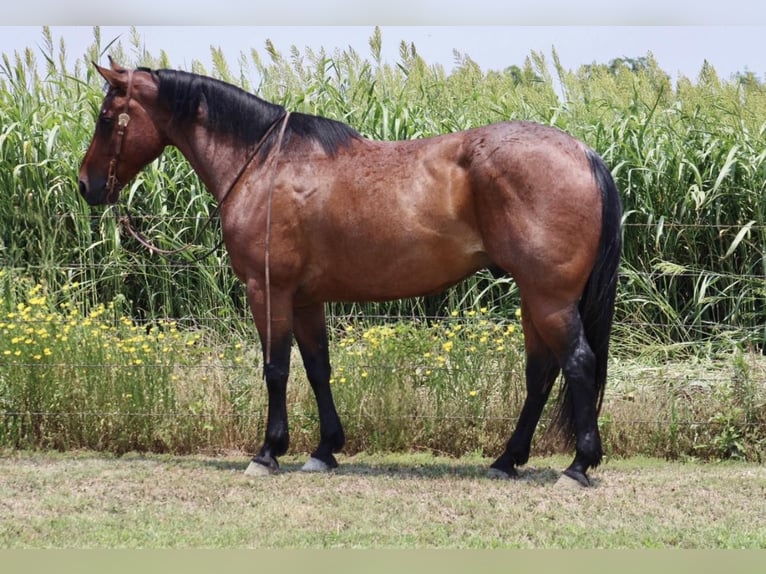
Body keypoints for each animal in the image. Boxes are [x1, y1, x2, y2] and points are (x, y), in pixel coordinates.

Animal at [76, 60, 624, 488]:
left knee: (577, 363)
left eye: (105, 119)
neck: (265, 163)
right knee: (540, 374)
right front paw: (325, 450)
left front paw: (268, 452)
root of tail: (583, 153)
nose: (86, 185)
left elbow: (276, 368)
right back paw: (506, 460)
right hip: (536, 298)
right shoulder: (305, 299)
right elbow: (318, 368)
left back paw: (577, 466)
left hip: (550, 298)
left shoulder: (268, 290)